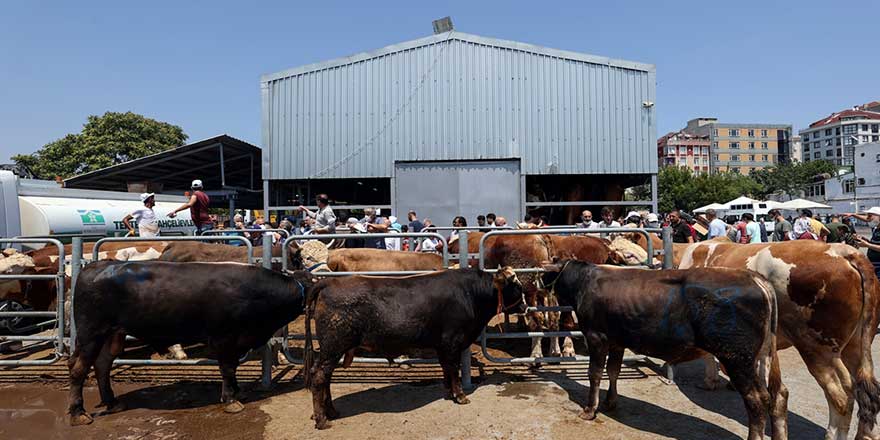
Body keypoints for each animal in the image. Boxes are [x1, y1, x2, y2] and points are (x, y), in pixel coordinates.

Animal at [69, 262, 316, 426]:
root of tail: (94, 268)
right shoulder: (225, 338)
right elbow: (228, 368)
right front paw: (230, 400)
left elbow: (233, 369)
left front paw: (238, 392)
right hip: (91, 334)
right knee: (79, 369)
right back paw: (77, 412)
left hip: (113, 336)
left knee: (102, 365)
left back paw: (112, 402)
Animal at [306, 266, 524, 428]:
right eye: (516, 287)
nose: (524, 306)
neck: (469, 293)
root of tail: (329, 282)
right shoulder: (452, 343)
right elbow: (454, 370)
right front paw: (460, 395)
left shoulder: (442, 346)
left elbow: (446, 369)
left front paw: (449, 392)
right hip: (333, 347)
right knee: (320, 377)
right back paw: (322, 419)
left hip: (332, 350)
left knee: (325, 378)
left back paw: (331, 411)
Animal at [544, 262, 784, 440]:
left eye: (548, 273)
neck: (586, 281)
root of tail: (754, 278)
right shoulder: (617, 341)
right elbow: (613, 371)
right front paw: (611, 402)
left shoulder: (596, 338)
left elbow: (594, 374)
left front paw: (589, 410)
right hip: (761, 356)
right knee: (778, 396)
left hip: (737, 359)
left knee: (756, 399)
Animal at [676, 241, 876, 440]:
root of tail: (843, 251)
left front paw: (710, 381)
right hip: (855, 345)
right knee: (866, 392)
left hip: (816, 348)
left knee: (842, 396)